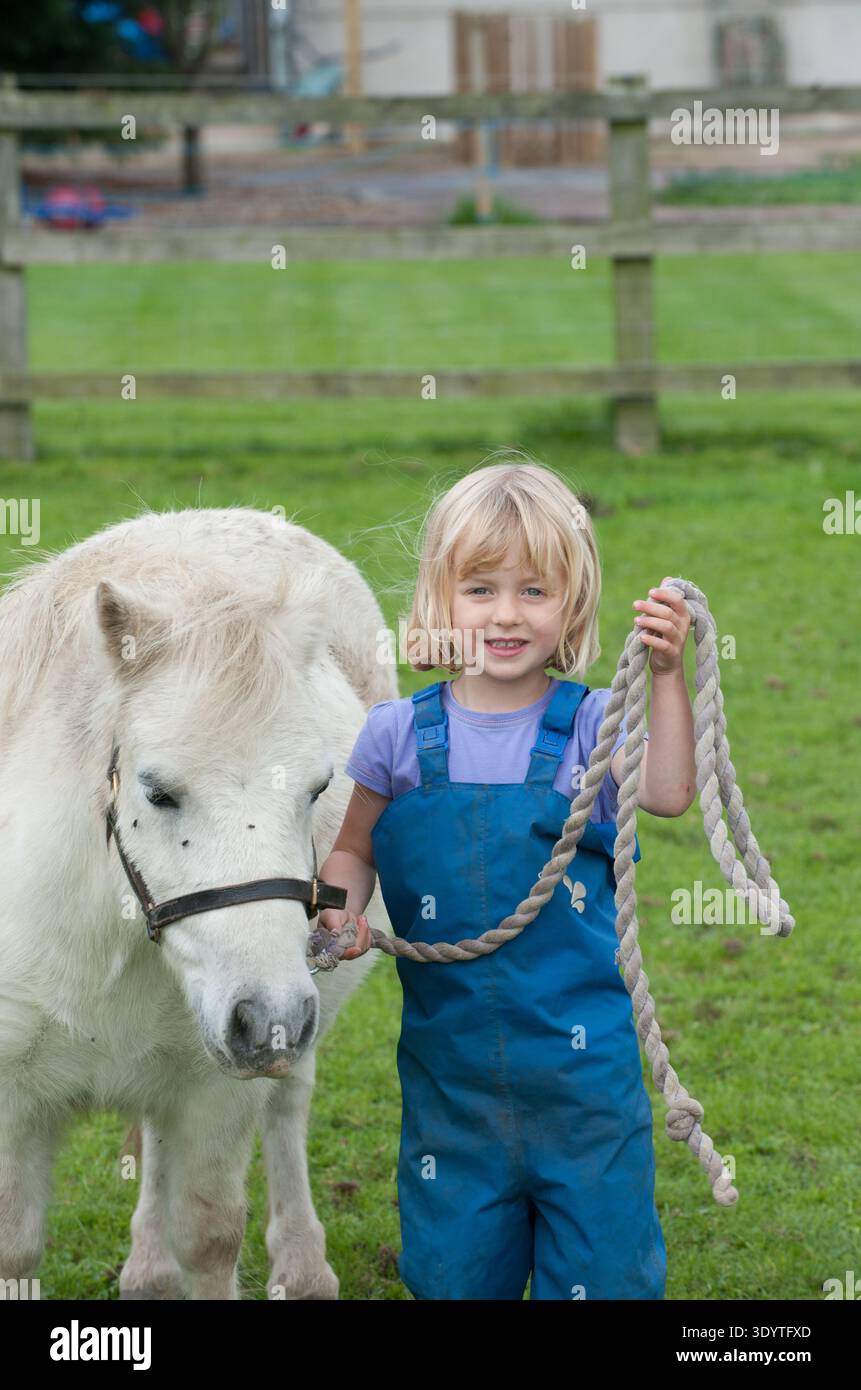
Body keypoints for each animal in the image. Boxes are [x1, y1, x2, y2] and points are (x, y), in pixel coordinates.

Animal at [0, 505, 397, 1299]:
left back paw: (302, 1267)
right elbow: (14, 1249)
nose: (269, 1017)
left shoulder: (220, 1091)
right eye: (156, 791)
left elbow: (210, 1238)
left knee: (286, 1106)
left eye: (317, 787)